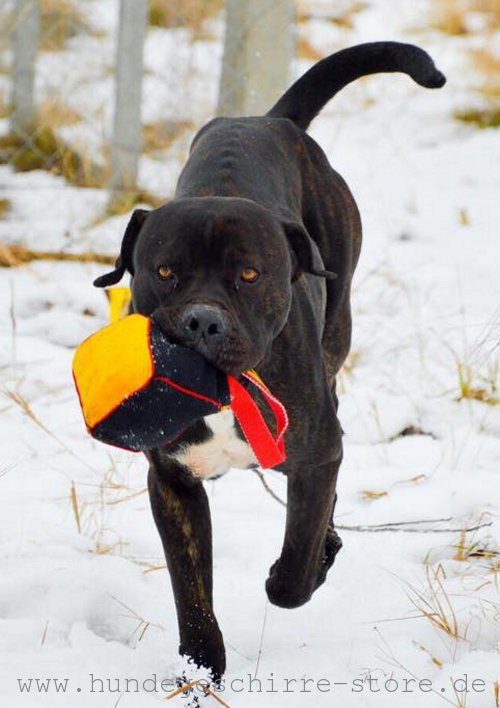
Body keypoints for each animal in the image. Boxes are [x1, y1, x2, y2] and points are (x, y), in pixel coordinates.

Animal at [94, 42, 446, 680]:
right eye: (165, 271)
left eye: (250, 274)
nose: (202, 321)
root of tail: (270, 120)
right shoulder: (173, 481)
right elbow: (190, 586)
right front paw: (201, 666)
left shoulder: (314, 455)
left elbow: (297, 559)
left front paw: (301, 571)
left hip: (337, 329)